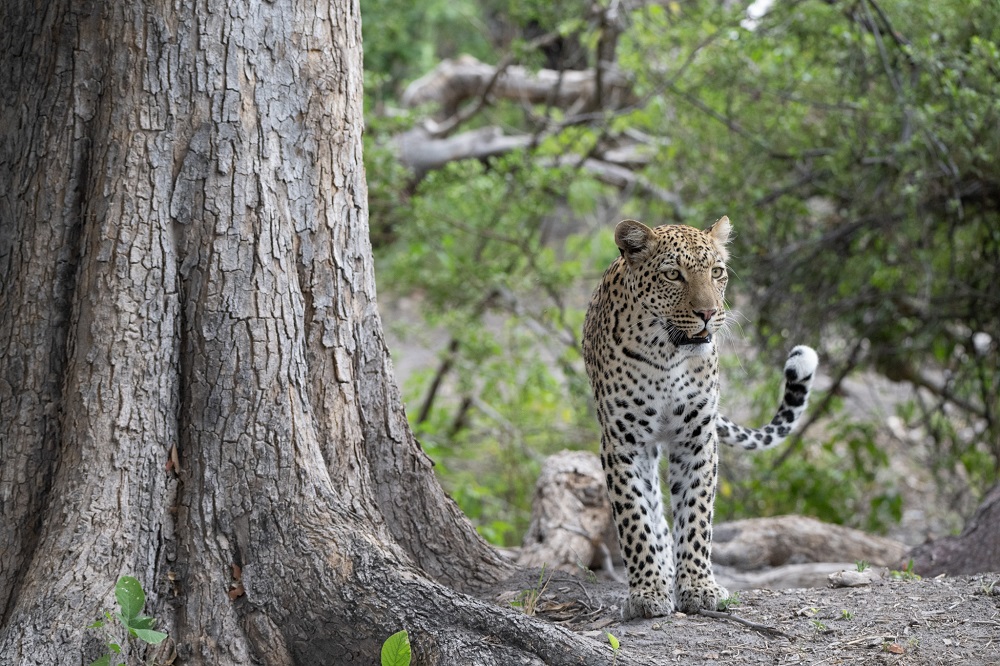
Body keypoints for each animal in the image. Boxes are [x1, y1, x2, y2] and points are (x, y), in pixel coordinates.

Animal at [582, 216, 818, 620]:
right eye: (673, 275)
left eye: (717, 272)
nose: (707, 314)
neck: (666, 355)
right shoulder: (622, 442)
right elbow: (634, 517)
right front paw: (647, 591)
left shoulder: (697, 439)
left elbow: (696, 514)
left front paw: (698, 587)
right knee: (652, 507)